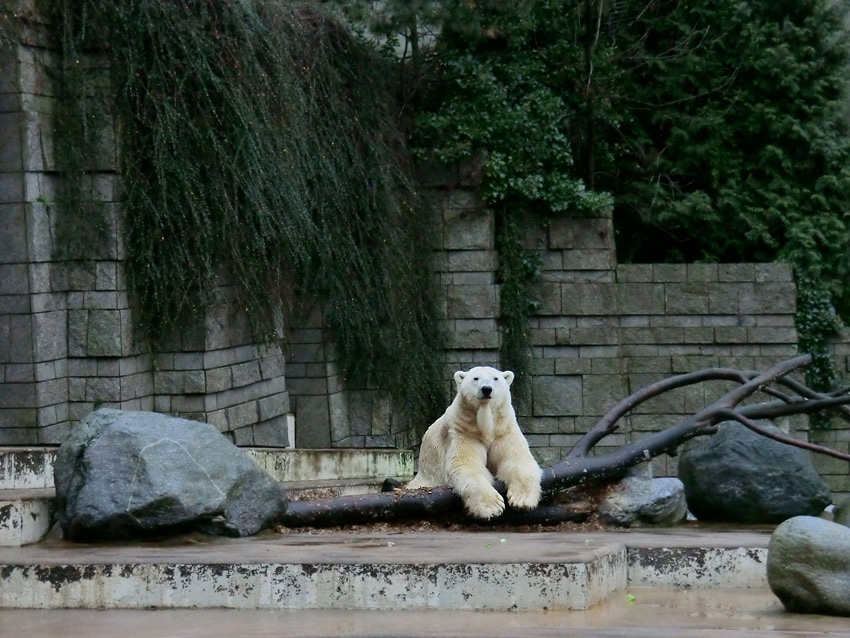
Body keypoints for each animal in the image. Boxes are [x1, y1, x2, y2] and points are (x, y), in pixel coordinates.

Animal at [406, 370, 540, 520]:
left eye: (495, 378)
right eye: (476, 378)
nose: (486, 389)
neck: (486, 427)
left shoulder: (504, 430)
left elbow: (516, 459)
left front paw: (521, 500)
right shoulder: (463, 432)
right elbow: (466, 465)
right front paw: (493, 506)